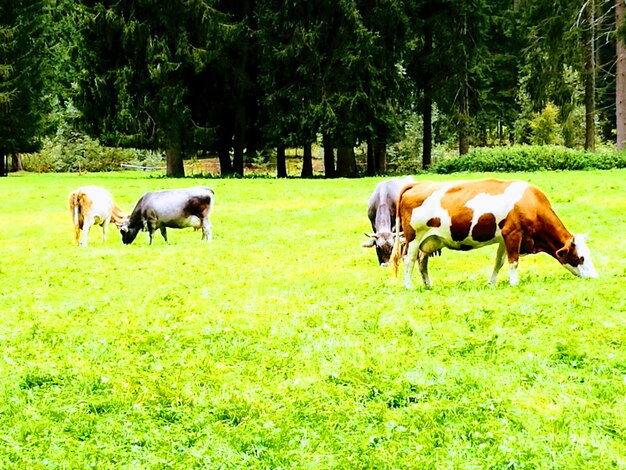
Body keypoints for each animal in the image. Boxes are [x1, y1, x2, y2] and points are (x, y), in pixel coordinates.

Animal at [388, 178, 596, 288]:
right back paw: (409, 286)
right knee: (409, 260)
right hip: (413, 238)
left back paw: (428, 285)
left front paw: (492, 282)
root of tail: (418, 184)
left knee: (422, 262)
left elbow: (499, 262)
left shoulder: (504, 238)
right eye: (582, 257)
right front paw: (514, 282)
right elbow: (513, 261)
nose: (595, 277)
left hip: (429, 240)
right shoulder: (513, 233)